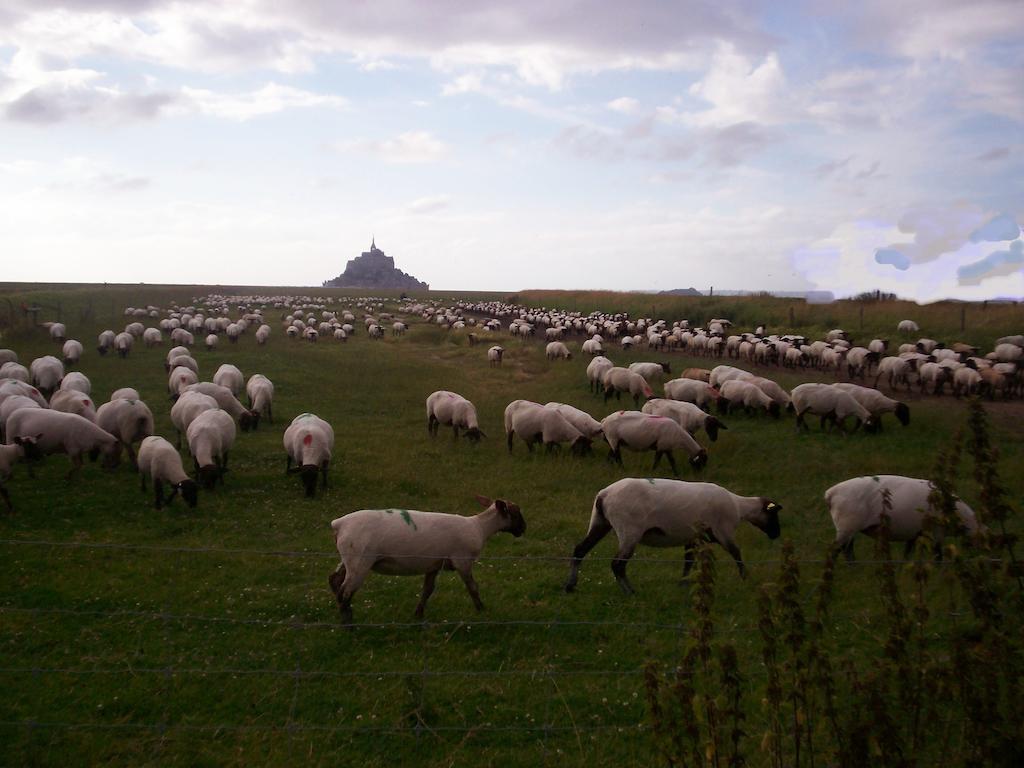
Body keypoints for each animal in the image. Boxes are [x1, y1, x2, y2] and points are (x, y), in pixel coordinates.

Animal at [325, 499, 524, 626]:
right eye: (515, 513)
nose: (523, 529)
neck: (480, 527)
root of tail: (339, 524)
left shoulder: (433, 565)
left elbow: (427, 590)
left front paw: (418, 614)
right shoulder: (463, 562)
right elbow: (473, 587)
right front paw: (482, 610)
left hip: (350, 558)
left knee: (334, 579)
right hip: (360, 561)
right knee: (345, 591)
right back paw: (348, 623)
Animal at [565, 479, 778, 593]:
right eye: (774, 514)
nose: (777, 535)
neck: (739, 507)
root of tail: (605, 494)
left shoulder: (693, 538)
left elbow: (688, 561)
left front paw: (683, 582)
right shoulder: (723, 531)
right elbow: (736, 553)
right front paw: (745, 577)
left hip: (600, 522)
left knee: (580, 550)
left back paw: (570, 585)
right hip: (629, 530)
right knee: (617, 563)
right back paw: (629, 591)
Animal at [823, 473, 974, 561]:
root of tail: (830, 493)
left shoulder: (915, 532)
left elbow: (907, 553)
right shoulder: (938, 529)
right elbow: (937, 553)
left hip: (849, 527)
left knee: (847, 549)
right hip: (848, 524)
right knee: (834, 550)